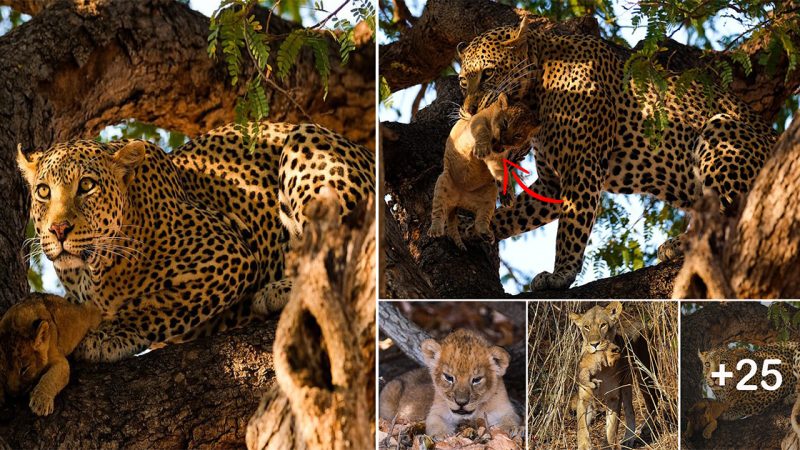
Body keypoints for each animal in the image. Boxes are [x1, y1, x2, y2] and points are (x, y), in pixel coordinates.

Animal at [15, 122, 372, 362]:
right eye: (43, 191)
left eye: (87, 186)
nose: (59, 229)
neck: (94, 270)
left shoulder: (229, 255)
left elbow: (158, 304)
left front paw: (110, 334)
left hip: (308, 142)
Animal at [380, 326, 520, 440]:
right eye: (448, 377)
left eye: (476, 379)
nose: (461, 403)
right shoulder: (436, 411)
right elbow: (435, 422)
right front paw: (441, 435)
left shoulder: (505, 408)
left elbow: (511, 418)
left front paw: (511, 428)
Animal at [432, 93, 536, 251]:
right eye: (505, 123)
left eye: (518, 135)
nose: (503, 142)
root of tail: (459, 199)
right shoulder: (476, 121)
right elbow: (482, 132)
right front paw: (481, 149)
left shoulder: (496, 160)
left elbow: (500, 171)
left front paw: (508, 196)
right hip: (443, 181)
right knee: (438, 211)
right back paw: (435, 229)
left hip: (489, 196)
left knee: (481, 220)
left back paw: (486, 234)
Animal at [460, 17, 780, 290]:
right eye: (463, 81)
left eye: (488, 73)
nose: (469, 110)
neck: (535, 90)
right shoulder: (553, 182)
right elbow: (516, 214)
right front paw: (471, 229)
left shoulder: (581, 166)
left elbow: (571, 228)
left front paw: (561, 275)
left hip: (721, 129)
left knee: (731, 217)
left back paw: (680, 243)